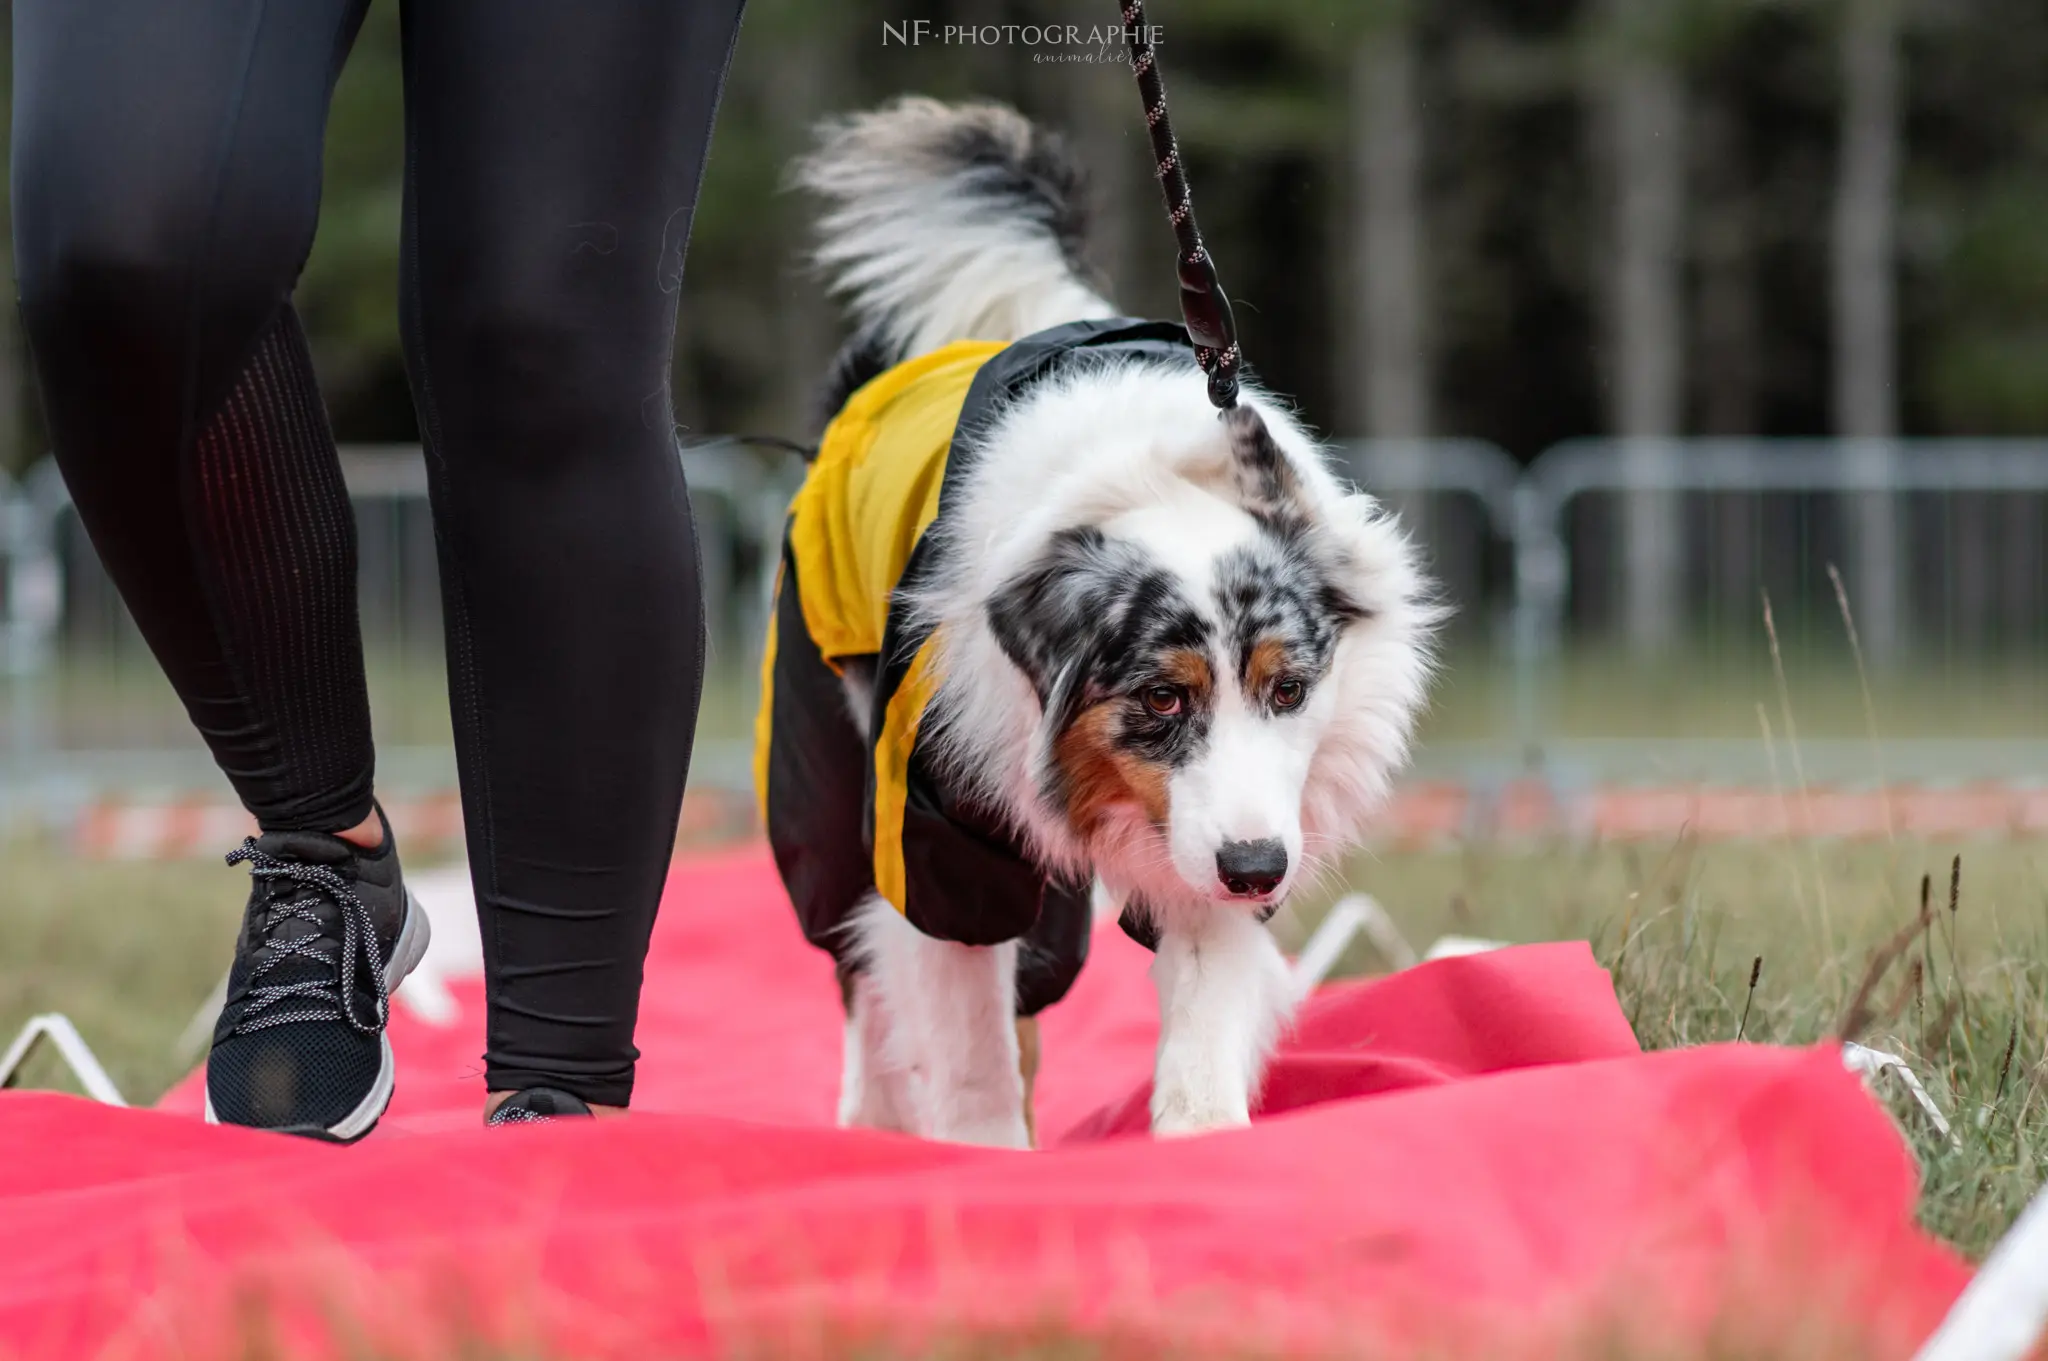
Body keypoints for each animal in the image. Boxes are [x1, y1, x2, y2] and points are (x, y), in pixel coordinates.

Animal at [757, 95, 1441, 1137]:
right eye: (1160, 699)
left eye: (1289, 688)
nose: (1258, 867)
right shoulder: (938, 837)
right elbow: (964, 1043)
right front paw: (978, 1155)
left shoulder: (1217, 845)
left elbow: (1202, 1012)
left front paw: (1205, 1140)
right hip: (824, 782)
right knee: (860, 959)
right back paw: (873, 1125)